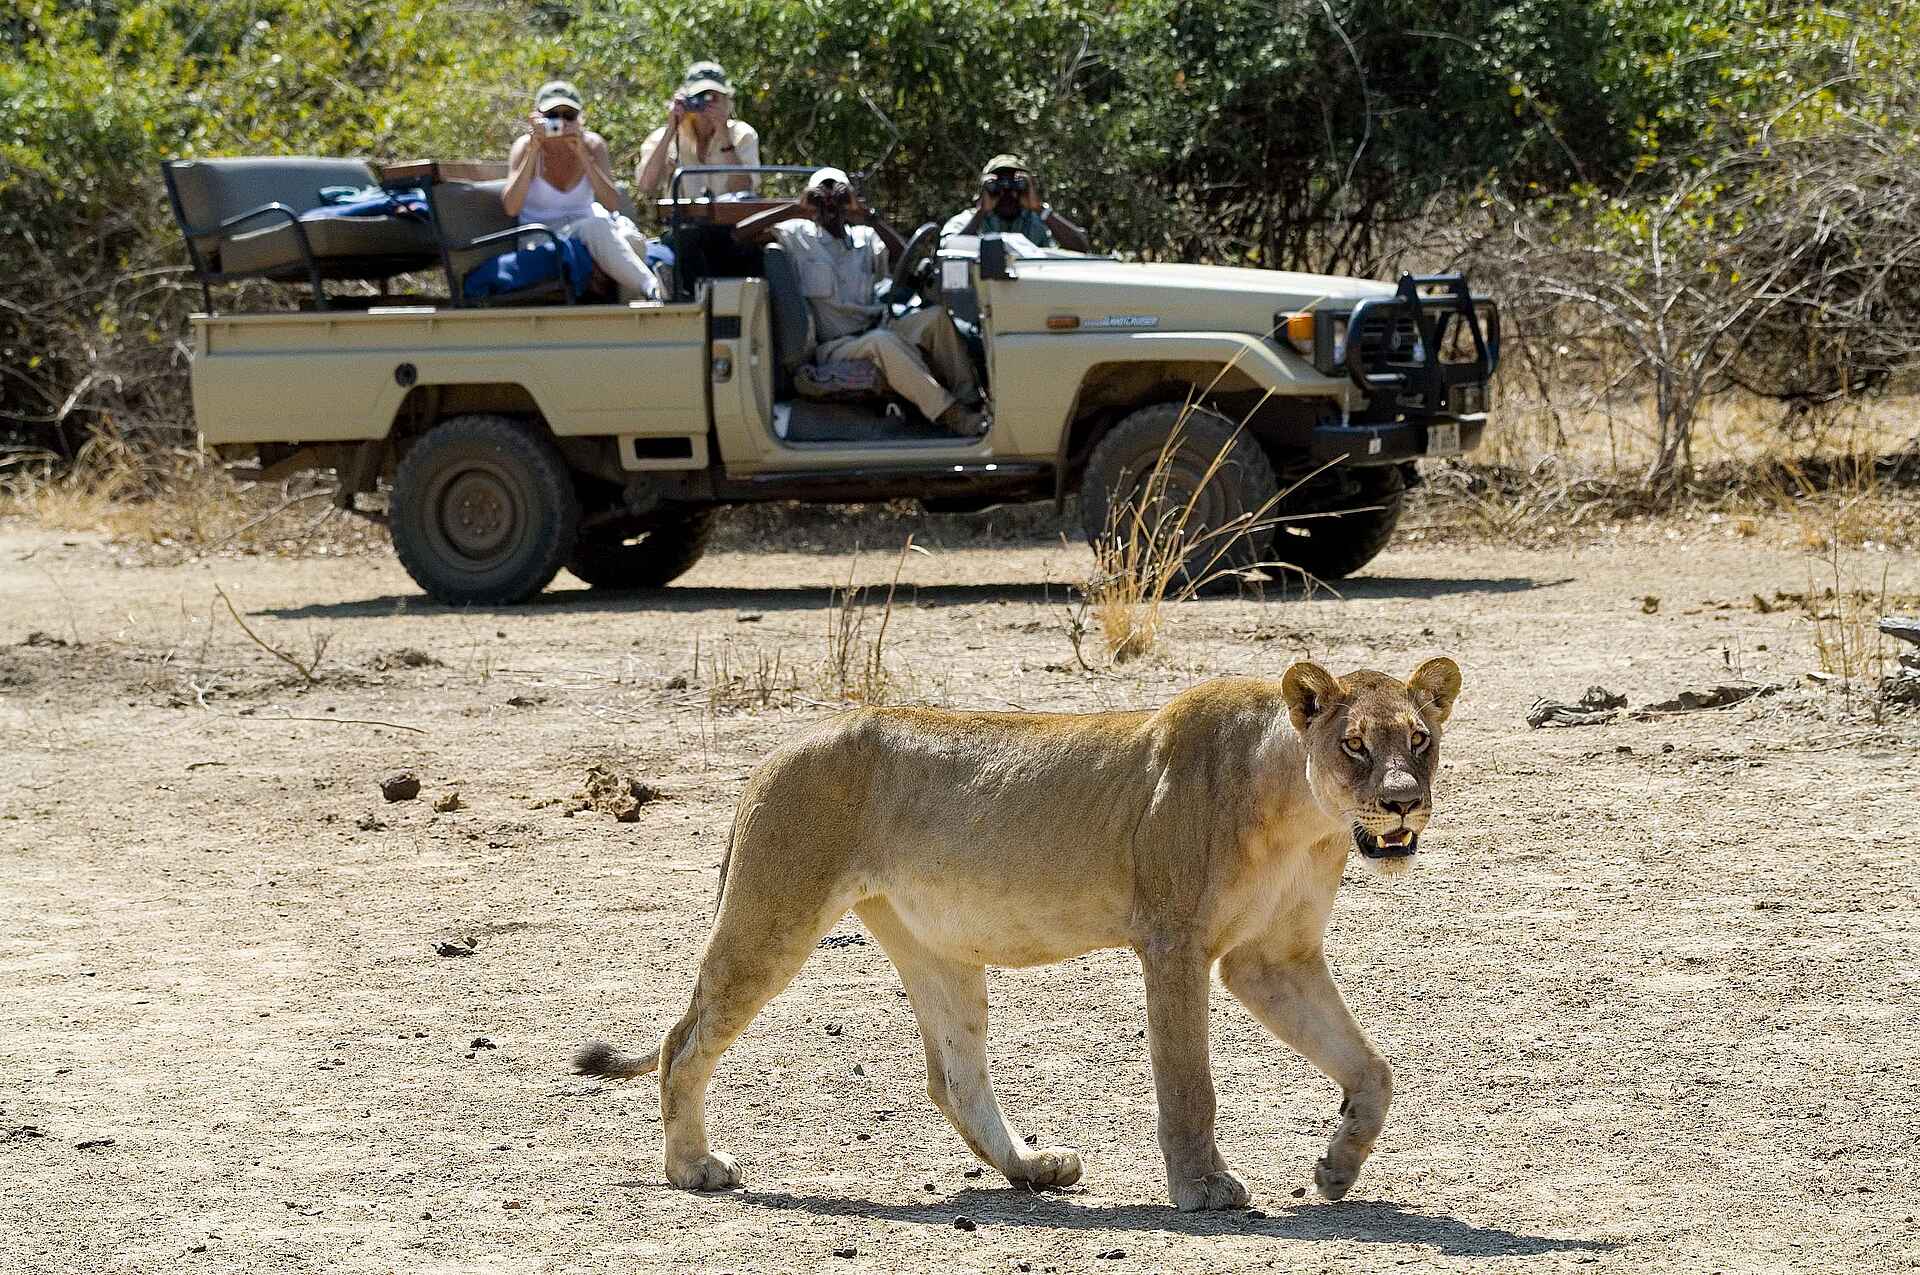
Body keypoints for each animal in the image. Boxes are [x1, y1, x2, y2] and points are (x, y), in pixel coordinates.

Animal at [575, 657, 1461, 1211]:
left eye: (1419, 738)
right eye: (1354, 744)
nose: (1401, 802)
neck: (1303, 816)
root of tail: (775, 751)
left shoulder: (1270, 958)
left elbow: (1372, 1068)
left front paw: (1338, 1166)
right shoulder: (1174, 943)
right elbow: (1189, 1083)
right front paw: (1203, 1188)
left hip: (935, 947)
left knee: (953, 1077)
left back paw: (1035, 1168)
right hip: (775, 908)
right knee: (683, 1040)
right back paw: (693, 1167)